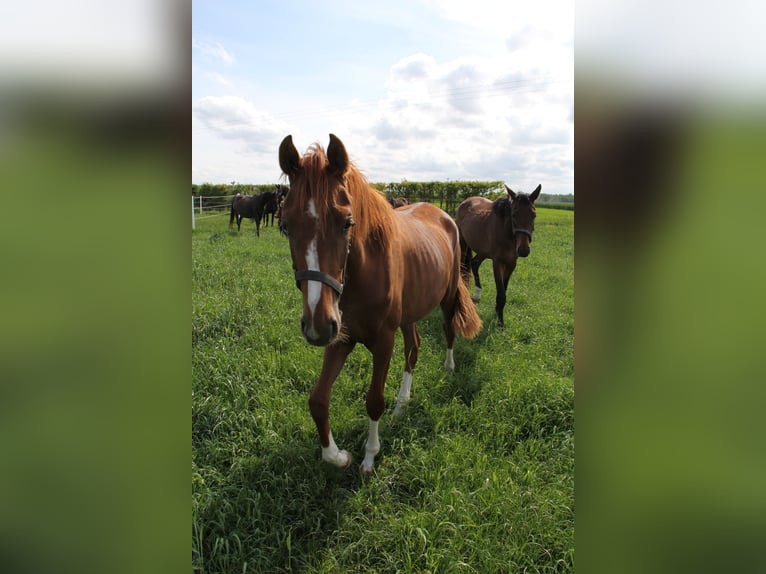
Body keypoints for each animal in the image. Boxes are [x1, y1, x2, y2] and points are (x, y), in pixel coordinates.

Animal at [276, 135, 480, 476]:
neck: (362, 273)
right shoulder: (340, 338)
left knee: (448, 328)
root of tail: (445, 216)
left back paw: (449, 369)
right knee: (413, 348)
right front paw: (338, 456)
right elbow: (318, 401)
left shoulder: (383, 342)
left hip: (448, 295)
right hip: (410, 312)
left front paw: (370, 457)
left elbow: (373, 401)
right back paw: (403, 402)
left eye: (347, 222)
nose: (317, 327)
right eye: (286, 226)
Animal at [460, 184, 544, 328]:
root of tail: (466, 201)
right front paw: (500, 322)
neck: (507, 234)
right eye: (514, 214)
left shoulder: (511, 263)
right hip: (463, 243)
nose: (523, 250)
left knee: (474, 263)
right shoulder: (497, 262)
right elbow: (501, 293)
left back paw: (477, 294)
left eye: (534, 214)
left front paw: (497, 312)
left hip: (483, 251)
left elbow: (504, 289)